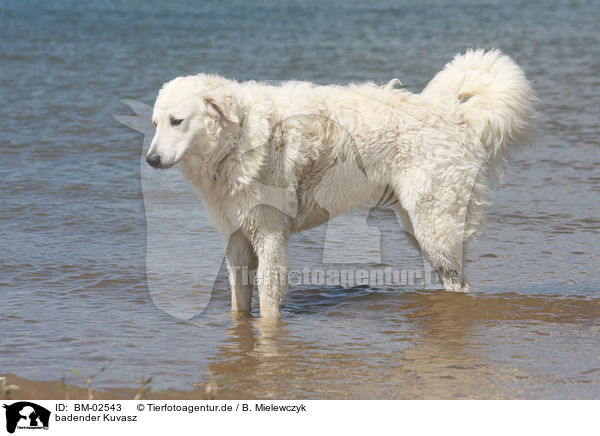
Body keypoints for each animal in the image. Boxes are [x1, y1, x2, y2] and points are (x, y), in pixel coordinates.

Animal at [148, 50, 536, 316]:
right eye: (155, 123)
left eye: (177, 121)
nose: (150, 160)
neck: (238, 137)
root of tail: (454, 114)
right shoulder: (238, 237)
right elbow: (238, 301)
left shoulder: (271, 235)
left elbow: (269, 304)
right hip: (421, 225)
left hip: (433, 226)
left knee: (458, 284)